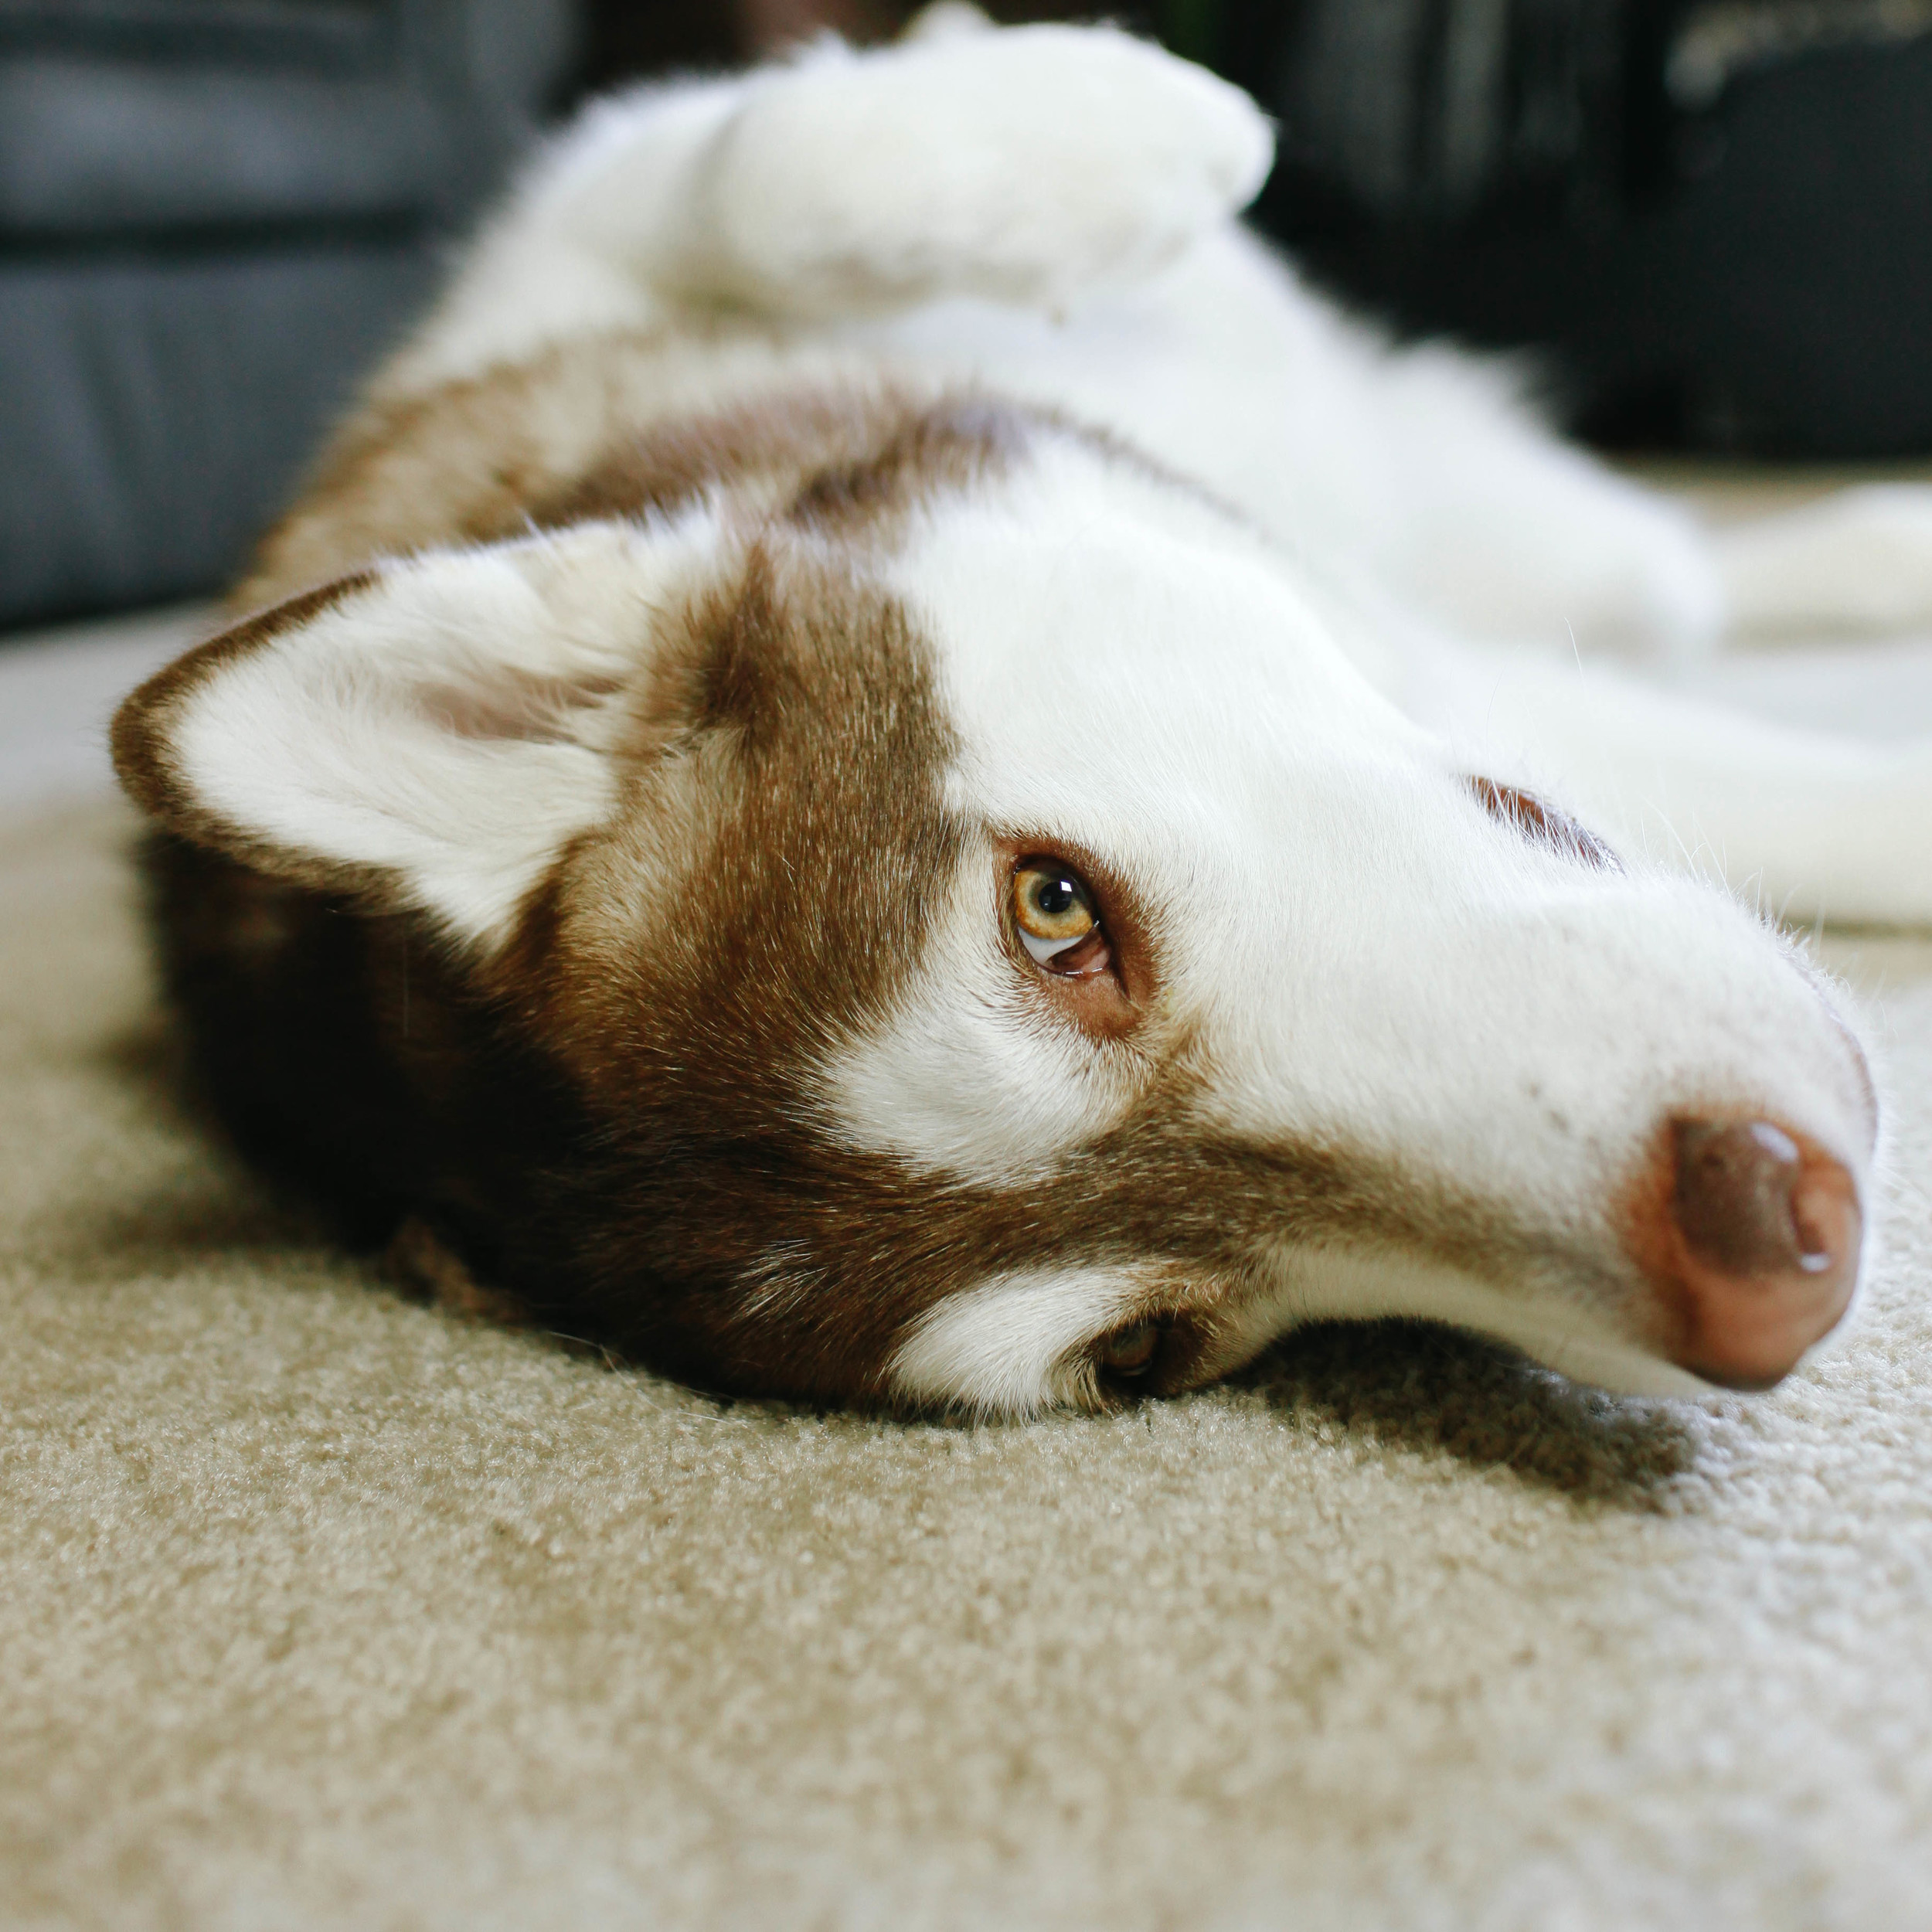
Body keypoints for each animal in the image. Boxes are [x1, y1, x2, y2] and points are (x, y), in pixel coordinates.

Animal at [109, 7, 1917, 1414]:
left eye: (1050, 911)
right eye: (1144, 1352)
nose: (1780, 1248)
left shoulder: (563, 244)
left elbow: (754, 160)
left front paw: (1139, 122)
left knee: (1664, 571)